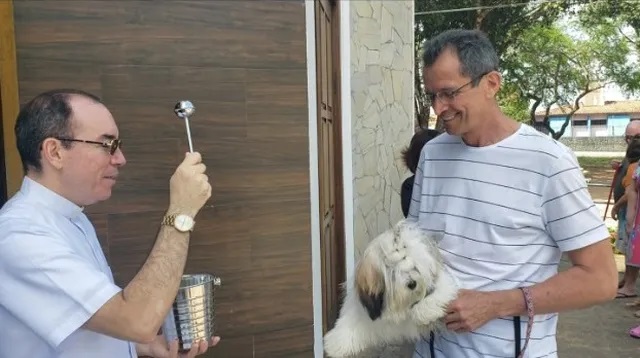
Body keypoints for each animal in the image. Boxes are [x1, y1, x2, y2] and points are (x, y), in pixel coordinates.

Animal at [324, 218, 456, 358]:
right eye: (392, 272)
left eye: (414, 267)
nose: (412, 283)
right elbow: (352, 321)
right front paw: (335, 344)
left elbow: (442, 289)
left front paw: (426, 311)